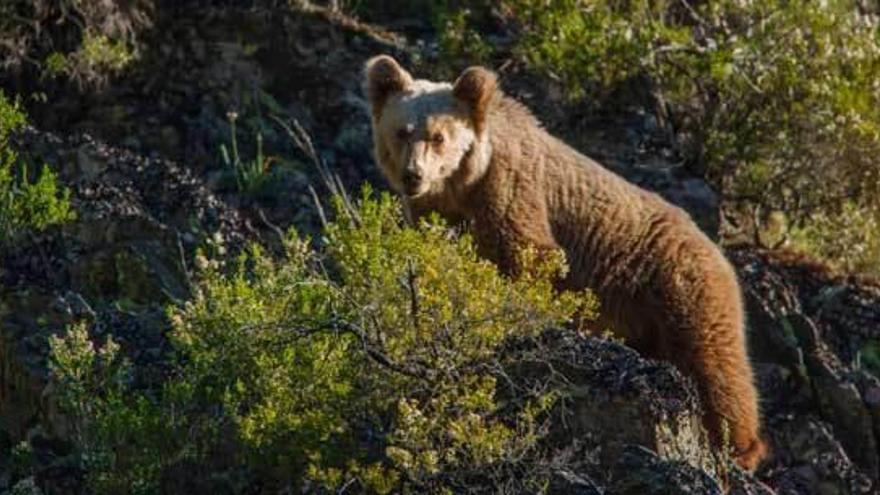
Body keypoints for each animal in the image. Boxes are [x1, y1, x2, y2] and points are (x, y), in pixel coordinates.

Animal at [362, 56, 764, 470]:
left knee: (714, 362)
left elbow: (528, 255)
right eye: (401, 131)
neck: (463, 187)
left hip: (678, 285)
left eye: (439, 136)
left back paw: (740, 449)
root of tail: (716, 248)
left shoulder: (510, 190)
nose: (413, 174)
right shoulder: (435, 212)